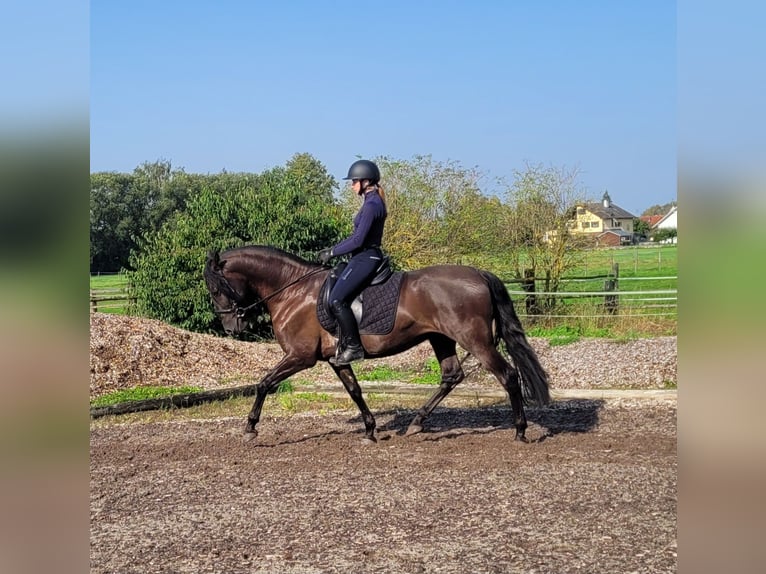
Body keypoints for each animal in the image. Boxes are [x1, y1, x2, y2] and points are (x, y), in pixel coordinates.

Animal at [204, 245, 552, 444]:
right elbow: (355, 391)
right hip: (441, 338)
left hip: (475, 341)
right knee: (452, 375)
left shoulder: (300, 356)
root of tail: (478, 274)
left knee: (508, 375)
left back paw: (520, 431)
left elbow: (264, 383)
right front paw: (371, 430)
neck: (293, 291)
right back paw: (416, 424)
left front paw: (250, 428)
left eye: (216, 288)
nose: (231, 326)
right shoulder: (337, 359)